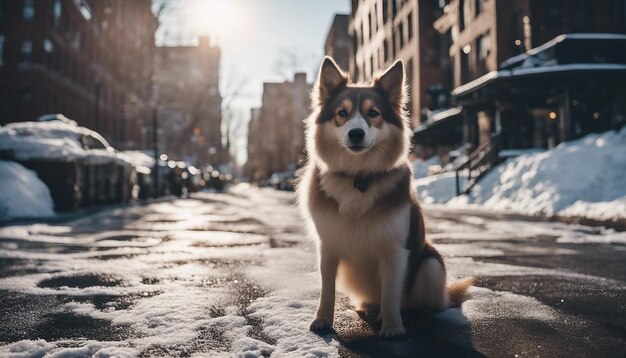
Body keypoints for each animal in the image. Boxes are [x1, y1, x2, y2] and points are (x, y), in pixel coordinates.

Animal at [294, 56, 470, 338]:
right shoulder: (328, 245)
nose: (356, 133)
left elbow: (390, 292)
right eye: (342, 113)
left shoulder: (394, 249)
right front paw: (322, 320)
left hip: (430, 265)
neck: (359, 177)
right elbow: (327, 289)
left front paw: (392, 327)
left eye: (373, 113)